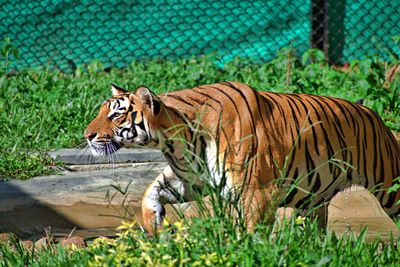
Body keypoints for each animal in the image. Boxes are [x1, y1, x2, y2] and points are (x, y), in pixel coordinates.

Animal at [84, 81, 400, 234]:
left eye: (116, 115)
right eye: (101, 111)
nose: (87, 135)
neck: (176, 141)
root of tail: (370, 111)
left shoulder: (255, 192)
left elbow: (249, 229)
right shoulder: (193, 179)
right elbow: (151, 191)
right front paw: (155, 226)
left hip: (390, 187)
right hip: (313, 202)